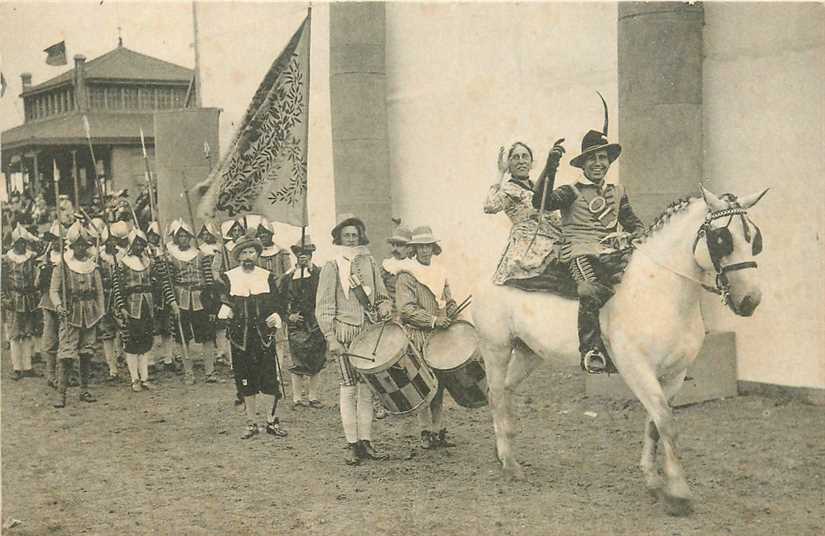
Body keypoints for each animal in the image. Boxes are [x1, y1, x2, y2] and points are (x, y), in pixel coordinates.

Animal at [474, 187, 768, 516]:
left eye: (754, 238)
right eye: (721, 239)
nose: (750, 300)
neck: (659, 290)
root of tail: (493, 277)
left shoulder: (674, 375)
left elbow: (655, 425)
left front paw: (654, 481)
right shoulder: (637, 369)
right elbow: (667, 423)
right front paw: (678, 493)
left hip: (528, 354)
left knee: (503, 392)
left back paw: (502, 449)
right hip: (496, 349)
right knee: (496, 394)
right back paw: (510, 464)